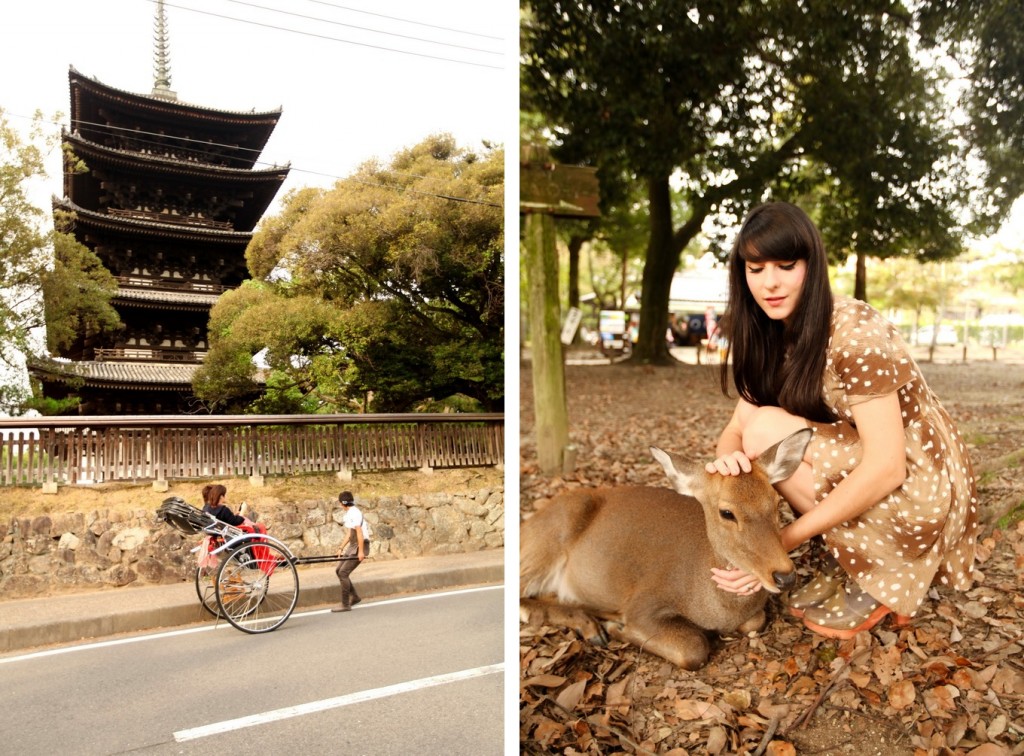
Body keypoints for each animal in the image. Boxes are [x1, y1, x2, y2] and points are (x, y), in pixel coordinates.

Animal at [524, 426, 811, 667]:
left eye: (776, 502)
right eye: (727, 512)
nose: (785, 576)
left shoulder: (750, 617)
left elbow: (755, 622)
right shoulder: (644, 603)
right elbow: (693, 648)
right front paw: (618, 628)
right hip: (549, 535)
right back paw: (593, 627)